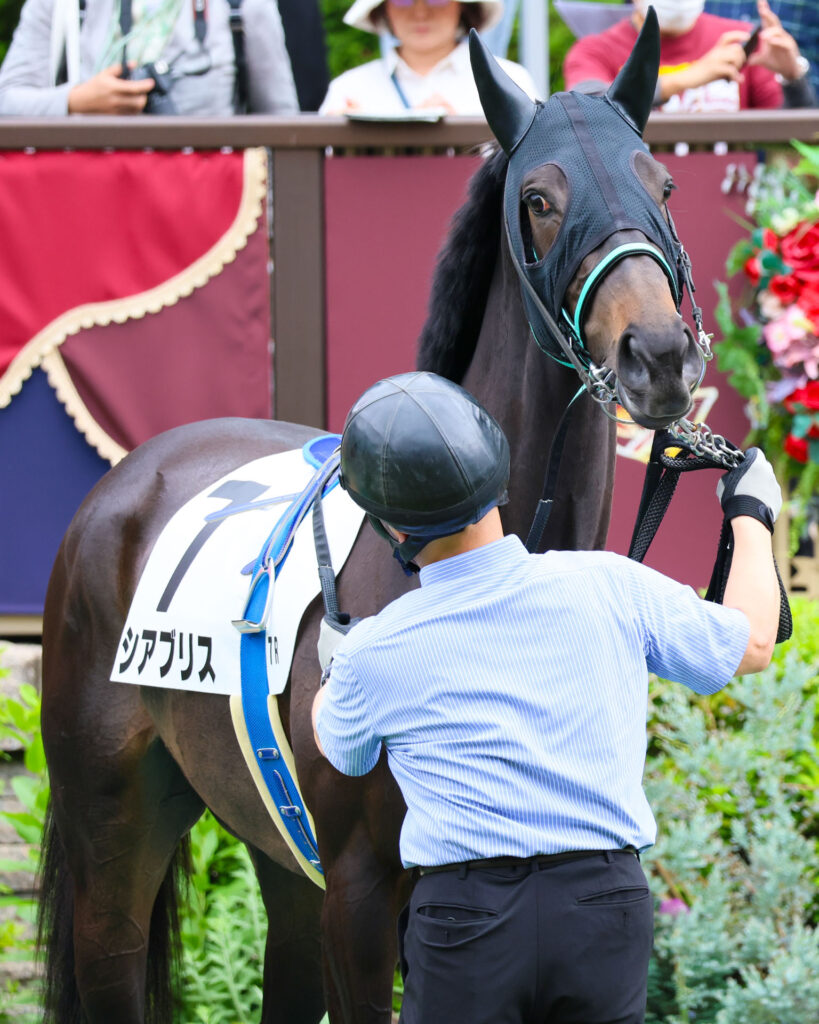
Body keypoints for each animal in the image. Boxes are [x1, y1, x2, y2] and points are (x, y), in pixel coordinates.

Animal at [38, 16, 705, 1024]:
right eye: (539, 200)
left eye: (659, 183)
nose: (657, 354)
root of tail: (127, 480)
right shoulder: (360, 897)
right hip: (113, 836)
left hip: (277, 856)